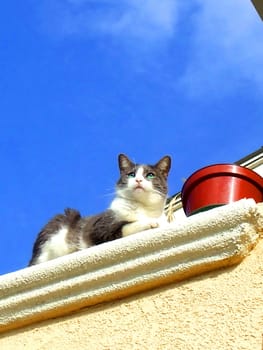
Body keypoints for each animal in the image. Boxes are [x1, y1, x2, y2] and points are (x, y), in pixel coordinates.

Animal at [28, 153, 172, 266]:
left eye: (150, 175)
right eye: (131, 174)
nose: (138, 180)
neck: (142, 207)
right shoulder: (99, 228)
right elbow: (125, 227)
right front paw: (150, 222)